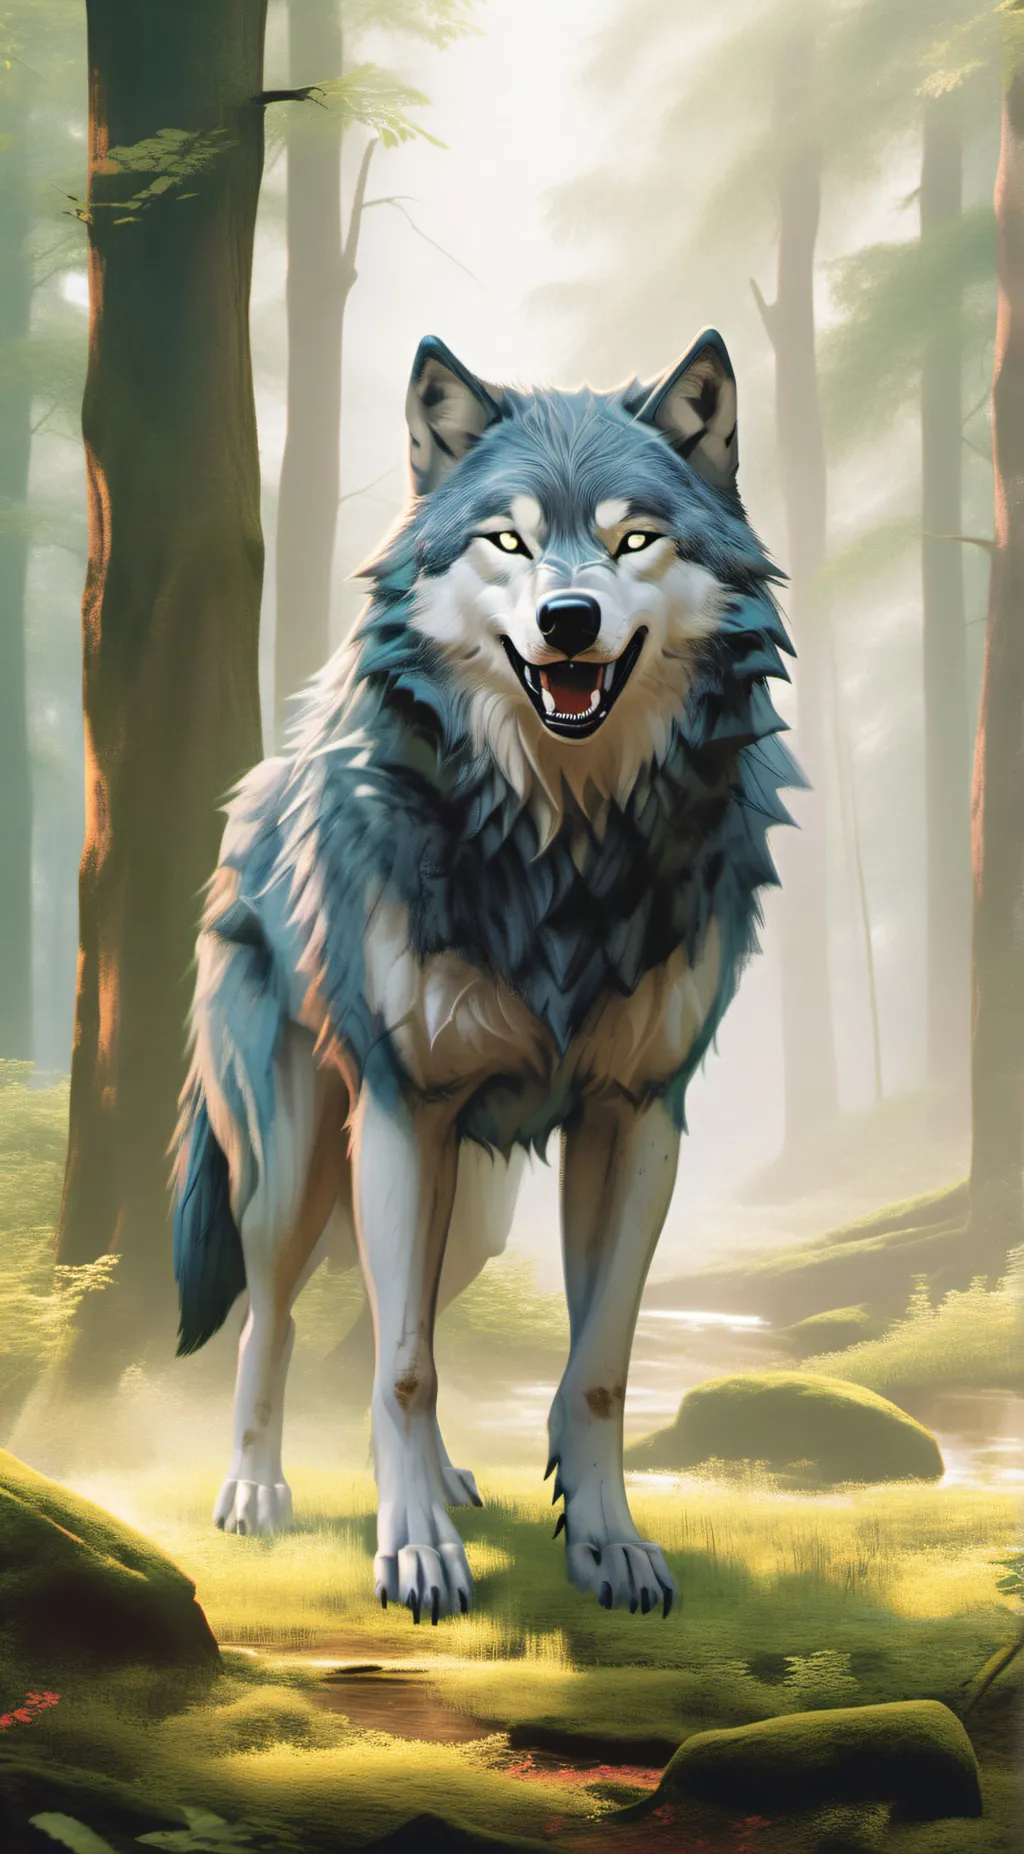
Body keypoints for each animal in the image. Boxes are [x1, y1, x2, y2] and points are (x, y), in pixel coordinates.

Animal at [172, 329, 797, 1624]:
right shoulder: (404, 1110)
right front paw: (414, 1552)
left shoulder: (636, 1117)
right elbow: (403, 1368)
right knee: (276, 1320)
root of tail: (255, 790)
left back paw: (449, 1479)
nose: (568, 618)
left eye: (632, 540)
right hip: (299, 1164)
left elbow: (596, 1368)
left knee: (392, 1317)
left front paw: (606, 1542)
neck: (564, 843)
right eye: (505, 541)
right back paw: (256, 1490)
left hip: (473, 1212)